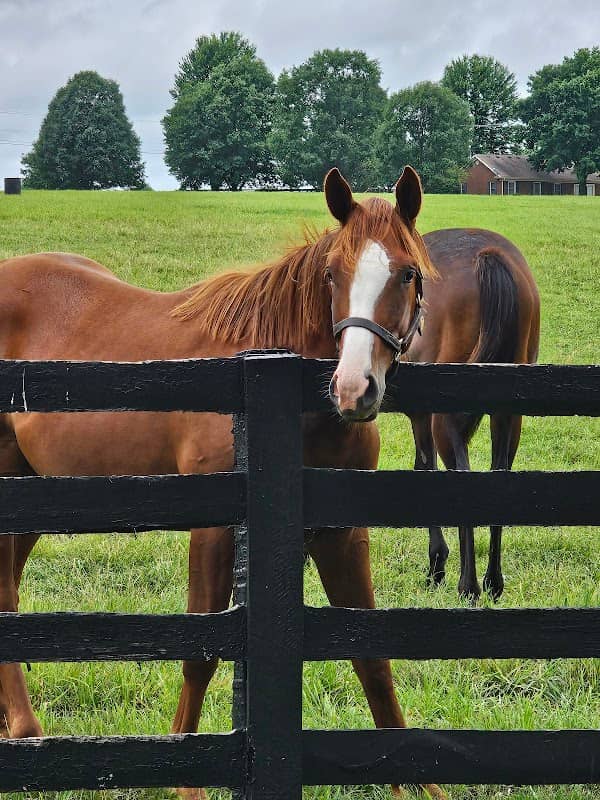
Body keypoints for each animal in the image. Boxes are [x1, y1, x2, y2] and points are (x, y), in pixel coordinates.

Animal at [0, 166, 446, 799]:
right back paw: (27, 732)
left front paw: (416, 783)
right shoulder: (214, 529)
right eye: (332, 274)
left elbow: (373, 662)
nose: (353, 388)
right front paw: (186, 781)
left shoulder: (340, 533)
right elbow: (201, 655)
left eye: (407, 273)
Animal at [407, 230, 540, 600]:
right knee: (498, 477)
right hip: (508, 416)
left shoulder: (422, 415)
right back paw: (493, 582)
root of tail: (488, 257)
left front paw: (436, 565)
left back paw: (468, 585)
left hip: (446, 421)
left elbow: (424, 470)